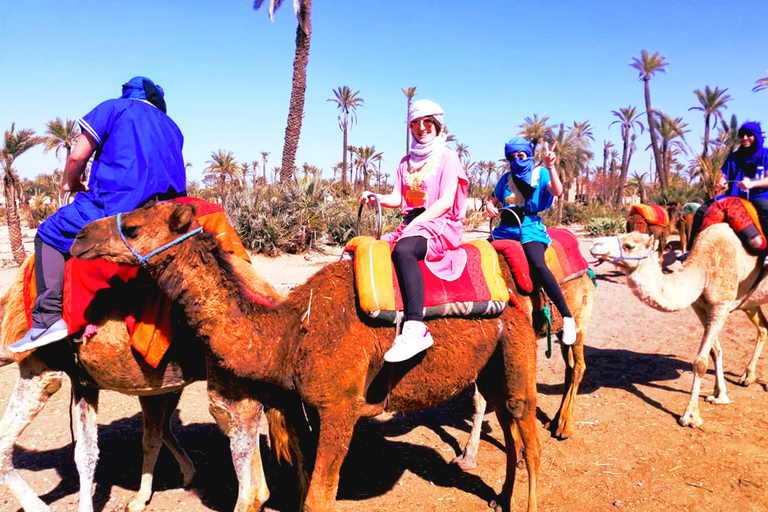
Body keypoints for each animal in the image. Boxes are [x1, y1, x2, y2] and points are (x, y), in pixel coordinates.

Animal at [0, 258, 282, 512]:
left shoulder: (40, 368)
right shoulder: (84, 384)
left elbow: (3, 444)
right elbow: (86, 453)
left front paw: (37, 507)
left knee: (250, 479)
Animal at [70, 200, 540, 512]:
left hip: (519, 346)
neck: (291, 333)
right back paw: (501, 499)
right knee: (509, 429)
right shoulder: (306, 404)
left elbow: (318, 497)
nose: (79, 236)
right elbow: (302, 478)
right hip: (491, 367)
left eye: (132, 227)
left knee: (528, 437)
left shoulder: (340, 406)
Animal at [456, 274, 592, 470]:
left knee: (579, 367)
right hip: (562, 332)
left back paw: (565, 427)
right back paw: (555, 422)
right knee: (570, 367)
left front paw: (519, 453)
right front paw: (468, 456)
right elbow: (479, 400)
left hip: (580, 322)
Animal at [592, 224, 764, 428]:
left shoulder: (721, 303)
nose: (595, 245)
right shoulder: (700, 305)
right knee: (763, 328)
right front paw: (719, 396)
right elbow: (715, 352)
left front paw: (690, 416)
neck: (702, 270)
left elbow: (701, 362)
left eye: (629, 246)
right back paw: (747, 377)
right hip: (751, 302)